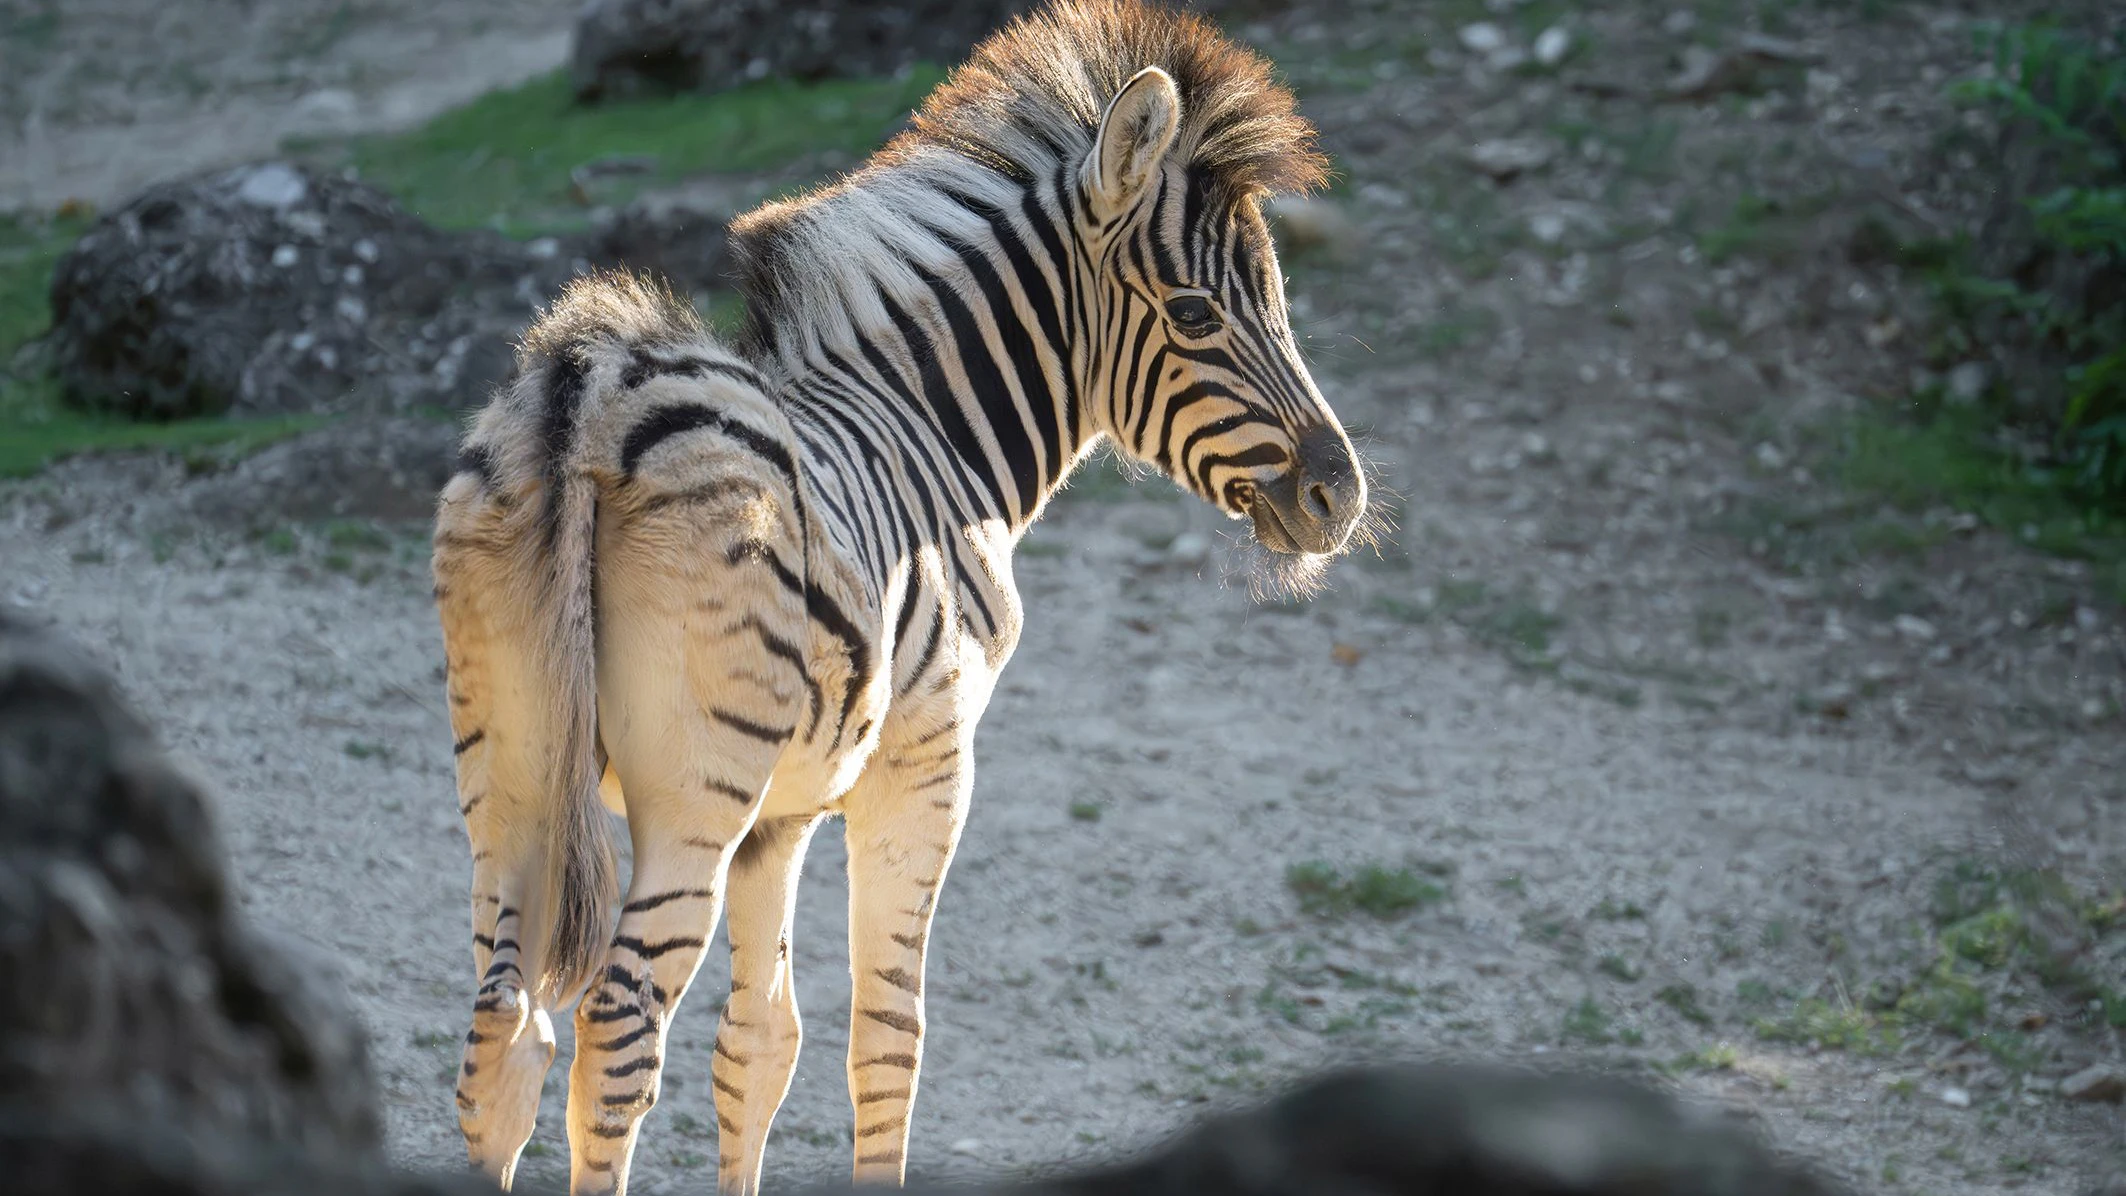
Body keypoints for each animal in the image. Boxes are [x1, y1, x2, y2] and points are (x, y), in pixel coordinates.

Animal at [431, 2, 1371, 1192]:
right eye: (1197, 313)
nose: (1340, 494)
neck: (932, 426)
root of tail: (586, 391)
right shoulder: (923, 771)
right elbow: (887, 1042)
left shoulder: (782, 811)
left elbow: (759, 1045)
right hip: (690, 787)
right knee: (616, 1029)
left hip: (508, 764)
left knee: (501, 1036)